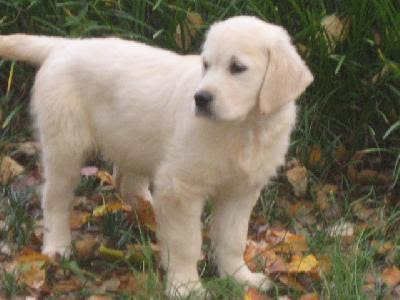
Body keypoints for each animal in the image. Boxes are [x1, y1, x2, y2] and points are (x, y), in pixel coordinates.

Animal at [0, 15, 312, 296]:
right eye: (206, 65)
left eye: (238, 68)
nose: (200, 99)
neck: (245, 128)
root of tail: (64, 45)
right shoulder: (181, 187)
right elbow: (186, 243)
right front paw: (186, 287)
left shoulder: (241, 191)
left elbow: (233, 239)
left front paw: (241, 277)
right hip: (65, 144)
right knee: (55, 198)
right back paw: (57, 247)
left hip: (133, 142)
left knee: (127, 183)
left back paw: (147, 211)